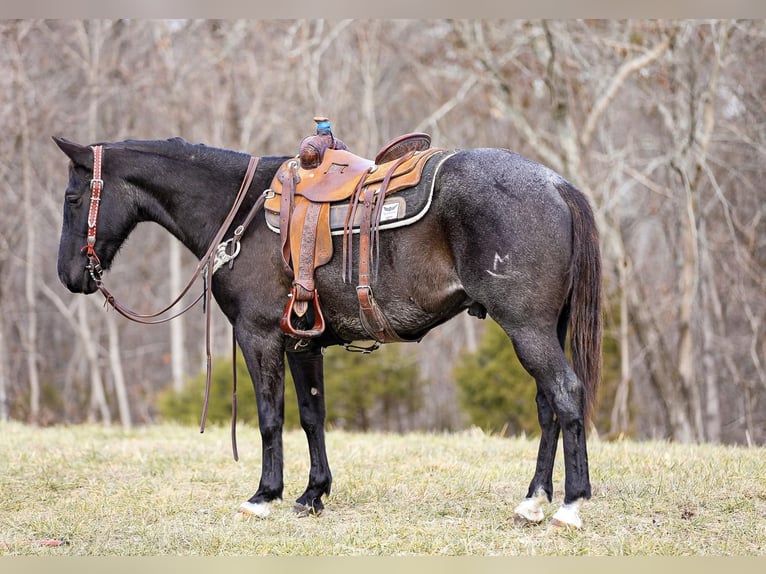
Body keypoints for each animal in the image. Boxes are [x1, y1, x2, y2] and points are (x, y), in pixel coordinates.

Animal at [55, 132, 608, 532]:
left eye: (72, 196)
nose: (69, 275)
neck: (242, 212)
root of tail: (556, 185)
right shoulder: (303, 343)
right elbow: (312, 416)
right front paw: (312, 493)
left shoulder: (259, 337)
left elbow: (270, 418)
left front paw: (264, 496)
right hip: (542, 329)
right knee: (548, 407)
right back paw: (533, 501)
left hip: (526, 329)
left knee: (565, 394)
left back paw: (570, 506)